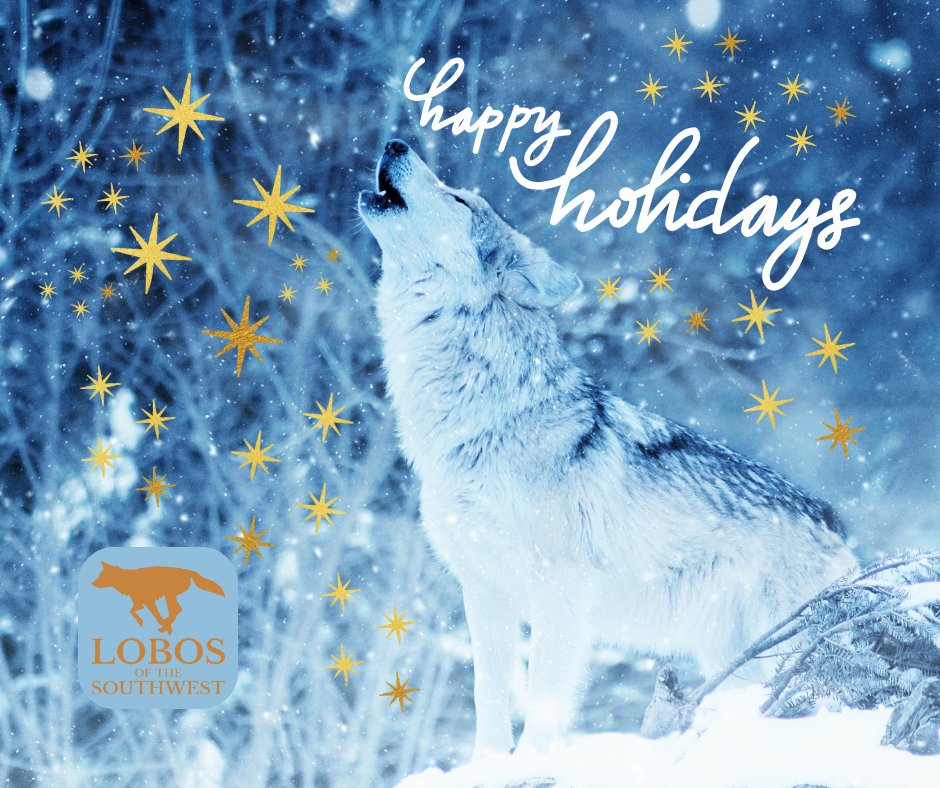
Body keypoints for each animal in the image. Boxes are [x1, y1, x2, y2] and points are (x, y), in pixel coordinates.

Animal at [91, 563, 225, 635]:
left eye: (102, 576)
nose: (92, 583)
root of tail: (188, 571)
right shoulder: (140, 603)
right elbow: (132, 611)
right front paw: (141, 622)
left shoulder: (149, 601)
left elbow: (156, 616)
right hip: (169, 596)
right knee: (176, 610)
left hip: (169, 595)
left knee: (176, 610)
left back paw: (164, 627)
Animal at [358, 139, 857, 758]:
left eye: (458, 199)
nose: (396, 143)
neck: (483, 419)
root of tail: (836, 521)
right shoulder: (484, 590)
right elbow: (488, 696)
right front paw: (487, 765)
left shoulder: (559, 590)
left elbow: (545, 702)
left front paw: (532, 764)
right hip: (732, 657)